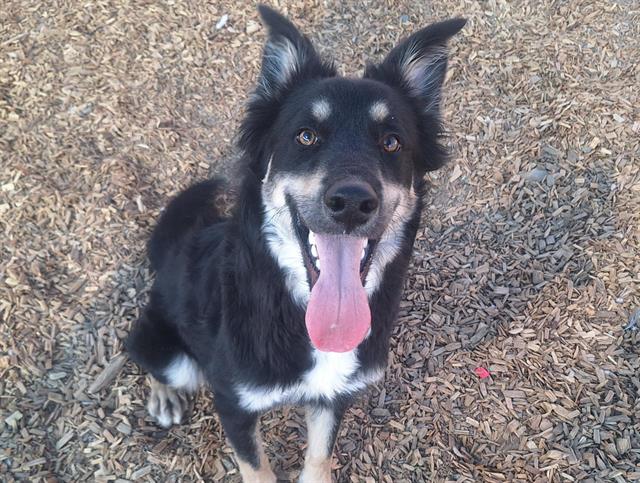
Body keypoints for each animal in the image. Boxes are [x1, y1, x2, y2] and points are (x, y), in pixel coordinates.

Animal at [126, 4, 464, 483]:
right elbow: (256, 468)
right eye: (306, 136)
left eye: (391, 141)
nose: (352, 202)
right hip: (174, 353)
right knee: (142, 351)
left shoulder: (333, 394)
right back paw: (164, 395)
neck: (295, 309)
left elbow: (319, 455)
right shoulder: (234, 403)